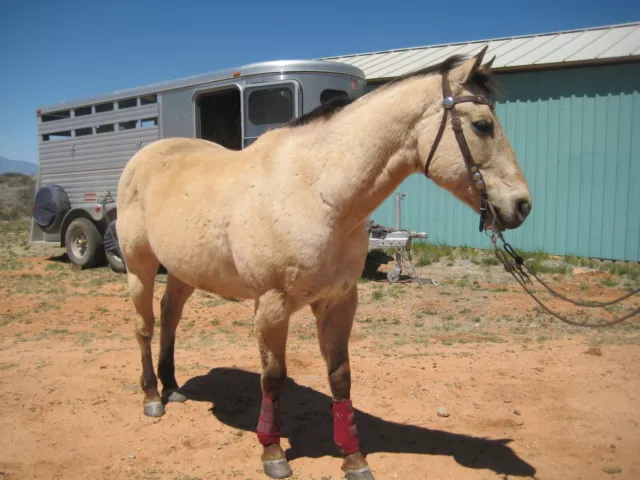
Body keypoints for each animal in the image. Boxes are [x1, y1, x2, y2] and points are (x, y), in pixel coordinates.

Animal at [116, 46, 536, 480]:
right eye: (483, 125)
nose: (522, 205)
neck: (317, 192)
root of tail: (144, 157)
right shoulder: (271, 305)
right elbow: (273, 378)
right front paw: (273, 452)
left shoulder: (339, 302)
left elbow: (340, 376)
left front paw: (353, 458)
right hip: (138, 267)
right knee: (145, 326)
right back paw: (152, 396)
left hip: (183, 270)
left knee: (170, 316)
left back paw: (172, 387)